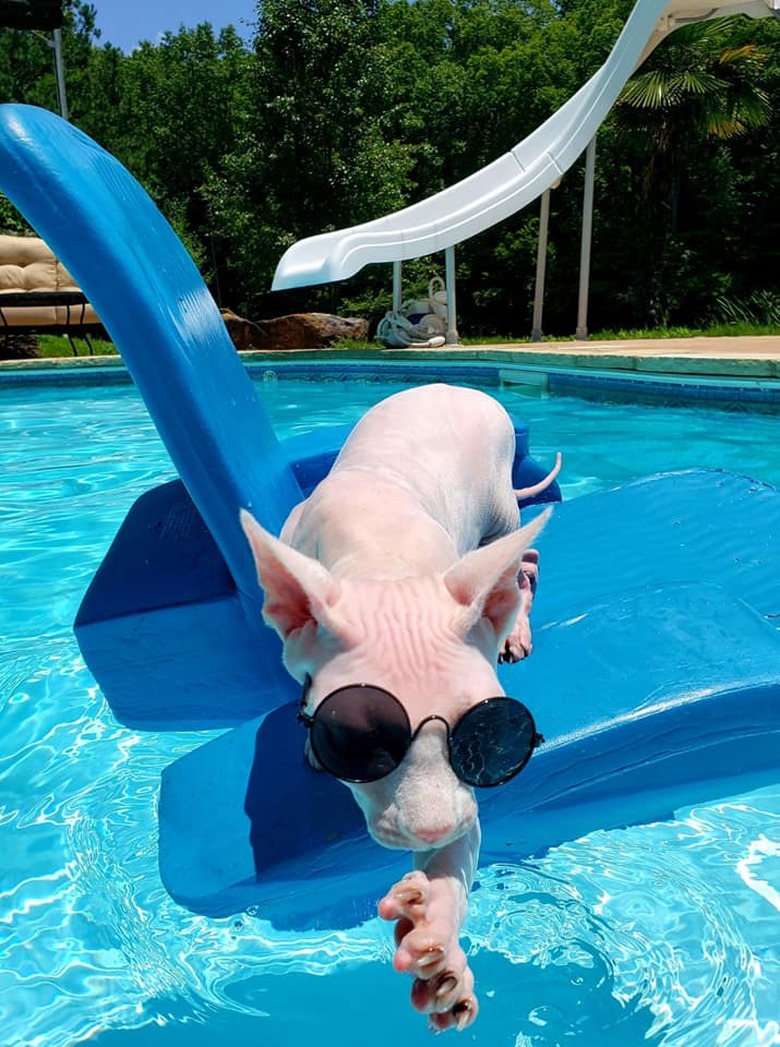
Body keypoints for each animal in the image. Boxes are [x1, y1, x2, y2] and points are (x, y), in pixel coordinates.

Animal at [240, 385, 556, 1030]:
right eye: (353, 740)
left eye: (489, 737)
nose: (435, 828)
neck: (380, 558)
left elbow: (460, 852)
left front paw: (440, 938)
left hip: (498, 514)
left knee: (522, 562)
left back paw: (515, 626)